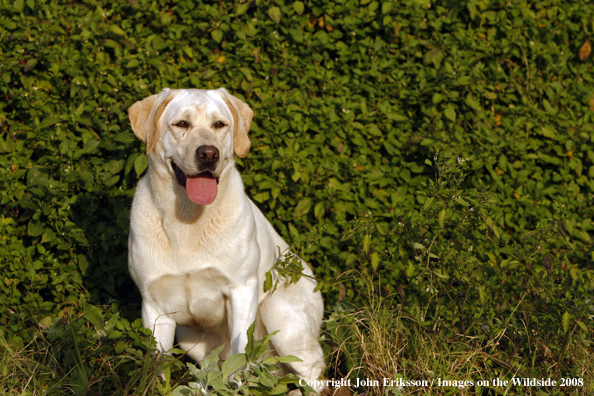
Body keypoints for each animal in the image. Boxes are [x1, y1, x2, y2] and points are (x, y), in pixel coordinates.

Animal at [127, 87, 326, 392]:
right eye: (182, 124)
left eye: (219, 124)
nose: (209, 154)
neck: (188, 219)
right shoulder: (154, 308)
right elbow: (157, 371)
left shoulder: (241, 290)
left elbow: (239, 356)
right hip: (192, 340)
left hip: (282, 320)